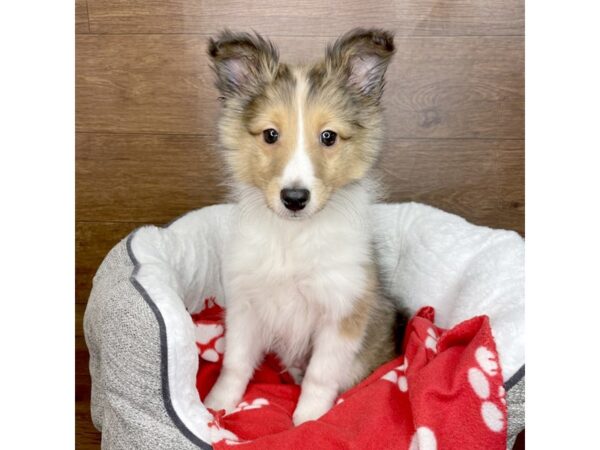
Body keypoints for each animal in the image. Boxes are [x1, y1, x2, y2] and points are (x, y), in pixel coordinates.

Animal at [205, 29, 398, 426]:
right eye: (270, 135)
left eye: (328, 137)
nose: (295, 198)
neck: (292, 237)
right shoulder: (246, 303)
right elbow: (235, 363)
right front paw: (217, 405)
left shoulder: (342, 311)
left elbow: (320, 376)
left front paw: (307, 421)